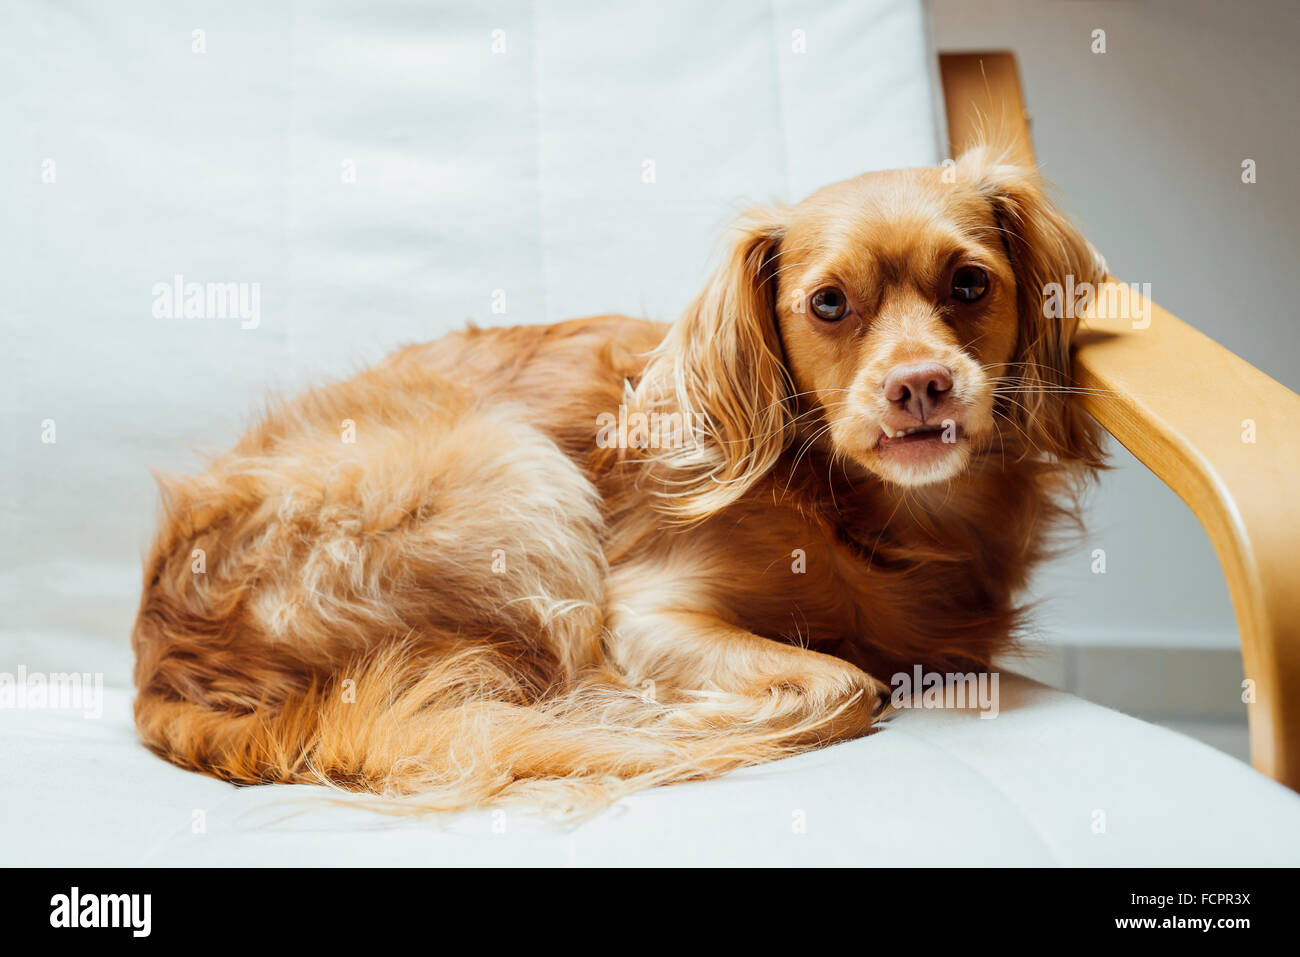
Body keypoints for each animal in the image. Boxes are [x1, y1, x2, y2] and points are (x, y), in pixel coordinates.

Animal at [131, 145, 1107, 811]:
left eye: (971, 282)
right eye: (829, 303)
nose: (921, 385)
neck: (872, 517)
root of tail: (158, 663)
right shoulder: (643, 616)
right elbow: (843, 684)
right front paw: (687, 723)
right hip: (519, 478)